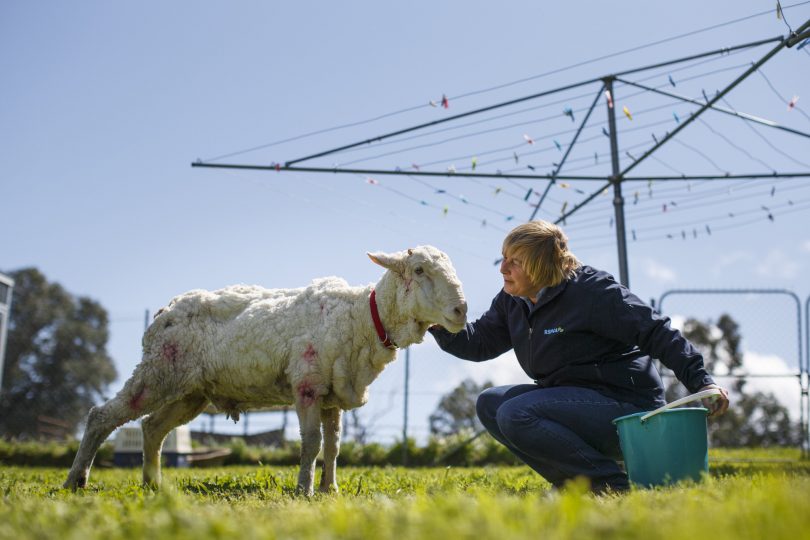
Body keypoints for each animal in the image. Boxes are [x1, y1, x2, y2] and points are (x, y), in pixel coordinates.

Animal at [64, 247, 468, 496]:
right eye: (419, 270)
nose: (461, 311)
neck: (364, 318)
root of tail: (165, 310)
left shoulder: (333, 394)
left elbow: (334, 446)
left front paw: (330, 489)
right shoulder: (307, 384)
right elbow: (311, 443)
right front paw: (305, 489)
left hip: (190, 390)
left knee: (152, 427)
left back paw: (153, 485)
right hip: (158, 370)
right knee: (102, 416)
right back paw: (76, 480)